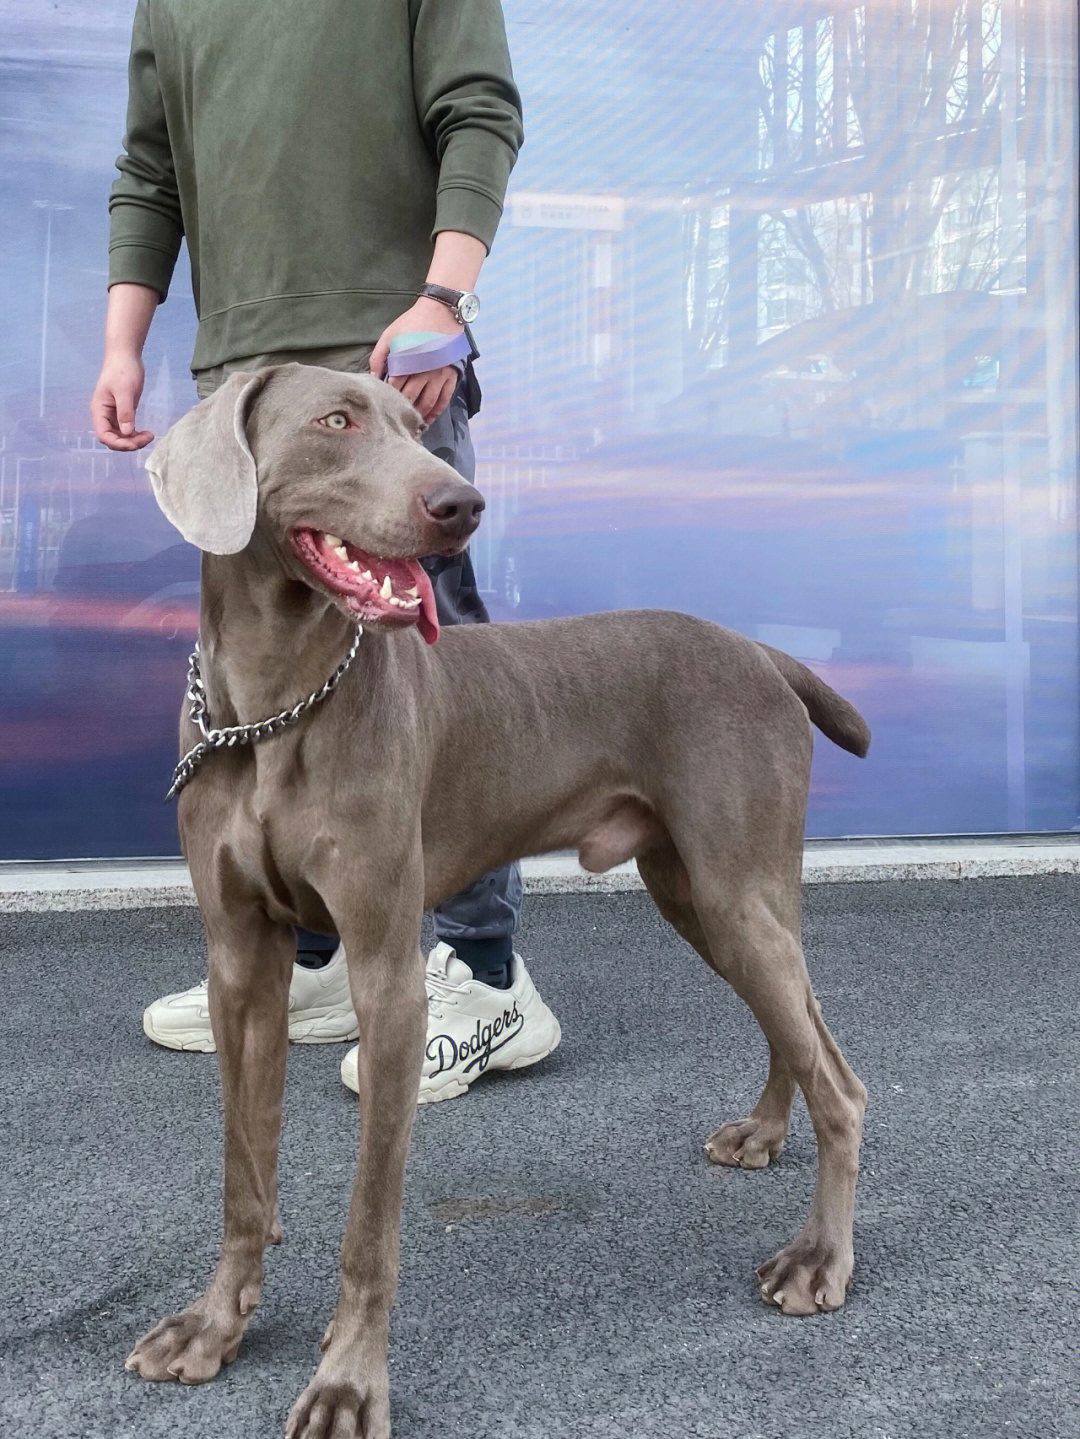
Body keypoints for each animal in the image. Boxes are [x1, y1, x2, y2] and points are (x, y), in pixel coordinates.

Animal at [124, 368, 868, 1439]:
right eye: (336, 420)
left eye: (413, 421)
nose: (460, 504)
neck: (274, 708)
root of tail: (764, 652)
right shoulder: (240, 961)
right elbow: (242, 1169)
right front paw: (215, 1323)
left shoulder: (389, 978)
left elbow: (370, 1223)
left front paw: (348, 1380)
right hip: (702, 891)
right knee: (795, 1026)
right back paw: (767, 1131)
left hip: (735, 888)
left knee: (840, 1080)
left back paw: (819, 1257)